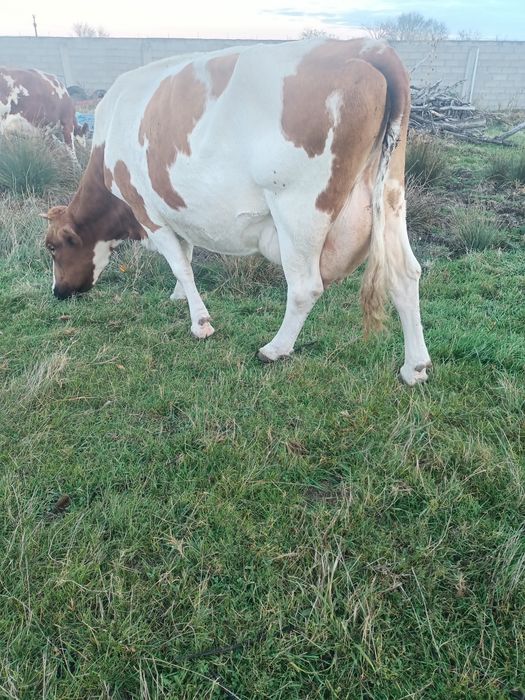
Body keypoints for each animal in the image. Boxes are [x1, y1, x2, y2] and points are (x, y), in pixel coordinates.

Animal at [42, 38, 431, 385]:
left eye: (53, 248)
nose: (58, 292)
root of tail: (367, 47)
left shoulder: (147, 212)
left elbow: (181, 264)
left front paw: (200, 322)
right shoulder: (175, 209)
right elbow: (187, 252)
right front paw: (179, 297)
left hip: (299, 210)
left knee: (305, 286)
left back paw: (275, 349)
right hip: (390, 197)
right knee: (404, 275)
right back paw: (414, 368)